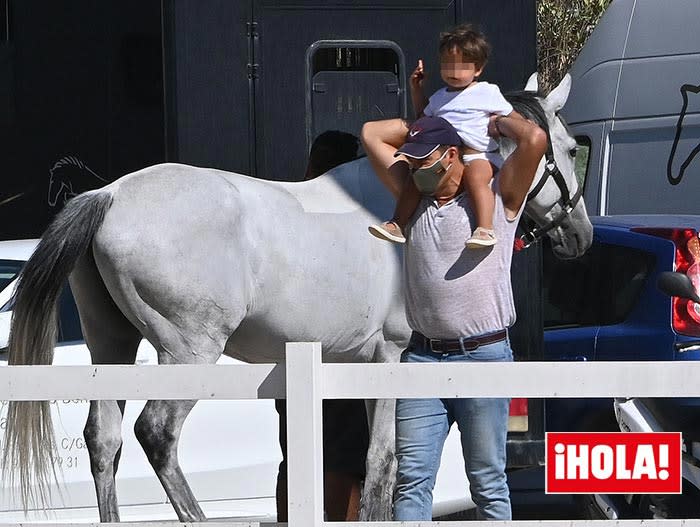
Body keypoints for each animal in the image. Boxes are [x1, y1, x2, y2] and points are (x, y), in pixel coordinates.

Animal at [2, 72, 592, 520]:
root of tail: (109, 193)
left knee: (105, 441)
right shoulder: (390, 357)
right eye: (566, 148)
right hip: (189, 352)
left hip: (111, 345)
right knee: (156, 433)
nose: (580, 234)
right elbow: (383, 467)